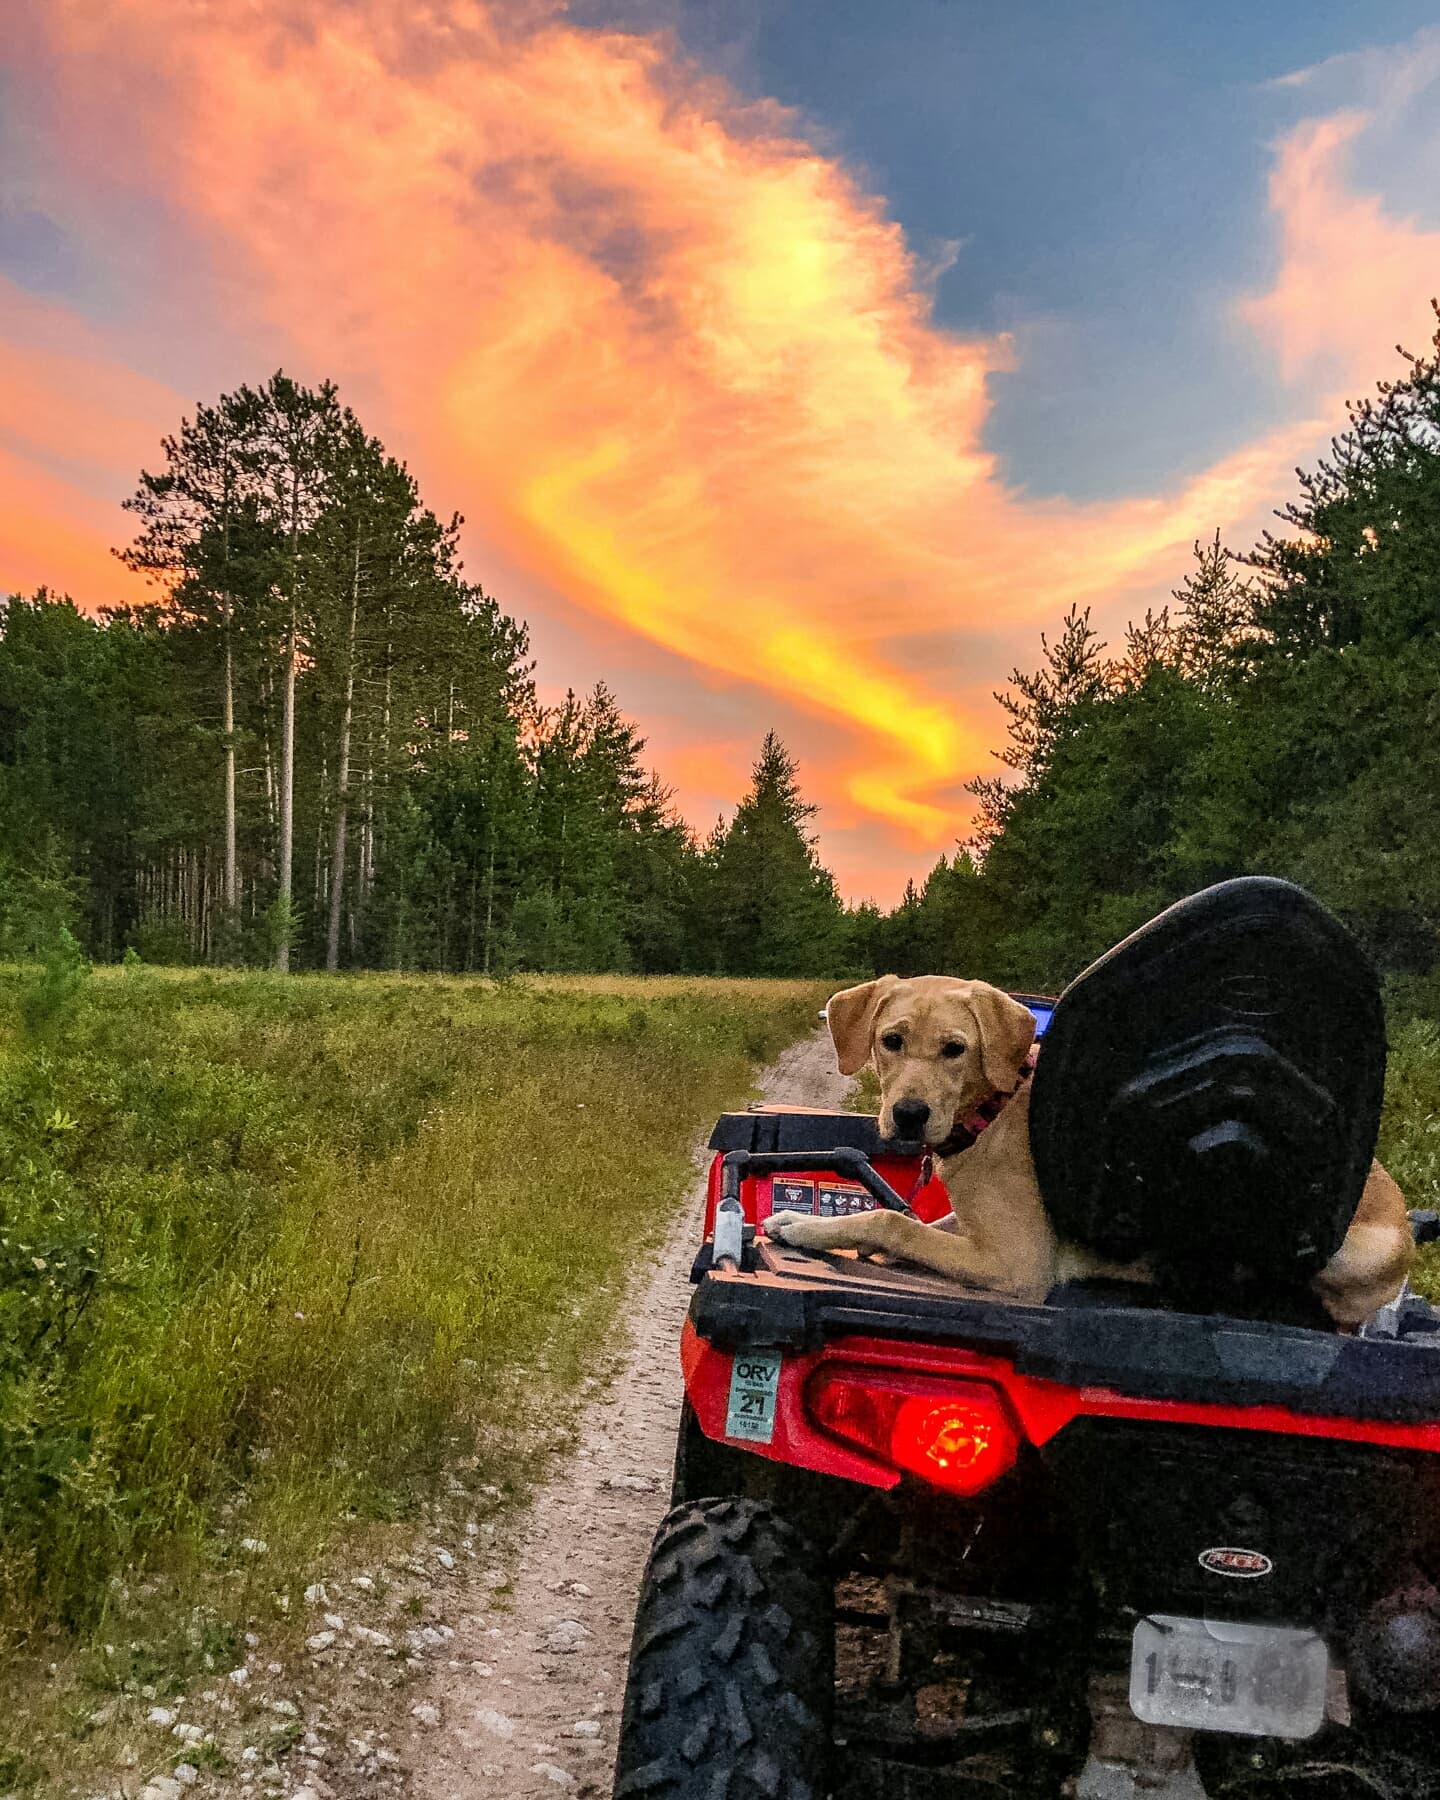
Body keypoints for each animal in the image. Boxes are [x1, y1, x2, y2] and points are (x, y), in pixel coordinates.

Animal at [770, 979, 1411, 1332]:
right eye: (891, 1041)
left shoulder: (1017, 1265)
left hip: (1352, 1250)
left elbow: (892, 1221)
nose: (908, 1115)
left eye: (955, 1049)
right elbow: (916, 1220)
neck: (994, 1108)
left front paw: (807, 1226)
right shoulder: (975, 1228)